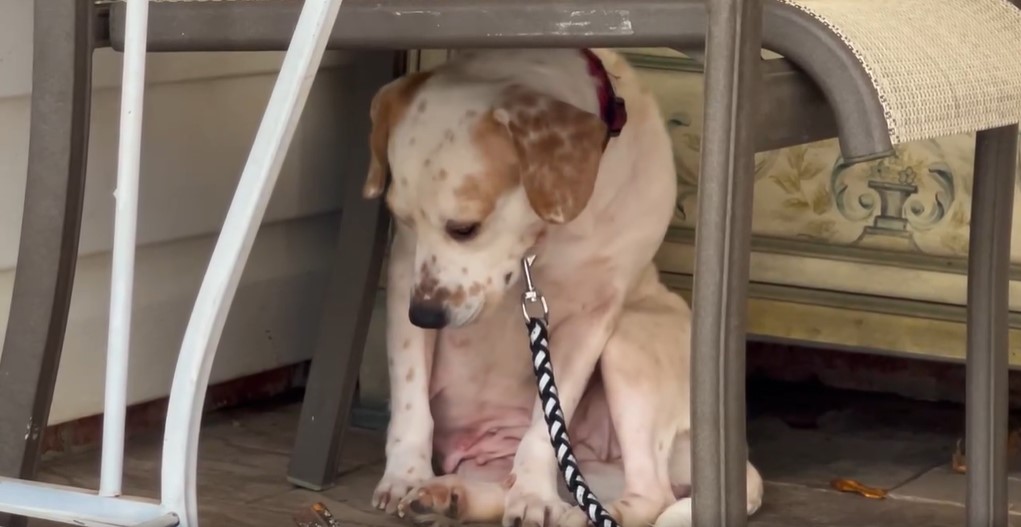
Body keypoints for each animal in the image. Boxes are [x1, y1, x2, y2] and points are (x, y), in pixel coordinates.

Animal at [363, 49, 763, 527]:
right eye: (402, 219)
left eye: (465, 228)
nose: (425, 316)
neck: (542, 243)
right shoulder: (405, 273)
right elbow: (411, 400)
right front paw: (405, 473)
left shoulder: (593, 316)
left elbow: (547, 421)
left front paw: (535, 495)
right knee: (523, 481)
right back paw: (450, 495)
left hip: (627, 348)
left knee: (651, 493)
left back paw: (579, 514)